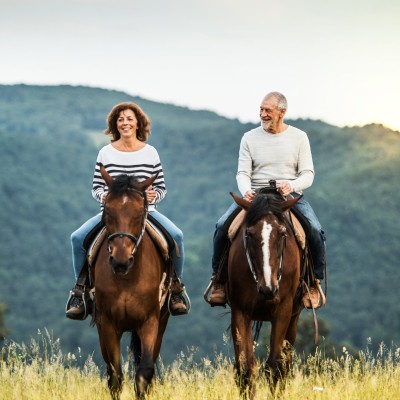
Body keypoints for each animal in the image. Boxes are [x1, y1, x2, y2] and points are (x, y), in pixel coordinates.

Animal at [92, 167, 169, 398]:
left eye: (139, 213)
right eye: (108, 211)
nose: (120, 261)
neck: (127, 277)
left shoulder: (150, 322)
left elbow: (144, 372)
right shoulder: (107, 324)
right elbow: (115, 376)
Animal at [228, 191, 304, 396]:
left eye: (283, 233)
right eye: (249, 233)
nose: (268, 289)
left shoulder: (283, 311)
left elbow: (275, 366)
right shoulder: (240, 311)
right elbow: (246, 367)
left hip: (293, 318)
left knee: (285, 364)